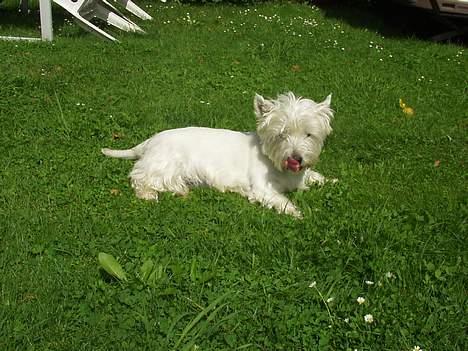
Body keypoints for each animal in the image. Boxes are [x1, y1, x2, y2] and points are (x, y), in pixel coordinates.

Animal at [103, 93, 336, 220]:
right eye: (282, 135)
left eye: (309, 134)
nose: (296, 159)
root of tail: (150, 140)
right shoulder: (262, 188)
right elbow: (279, 199)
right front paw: (297, 213)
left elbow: (315, 176)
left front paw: (330, 180)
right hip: (165, 164)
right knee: (140, 177)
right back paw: (149, 194)